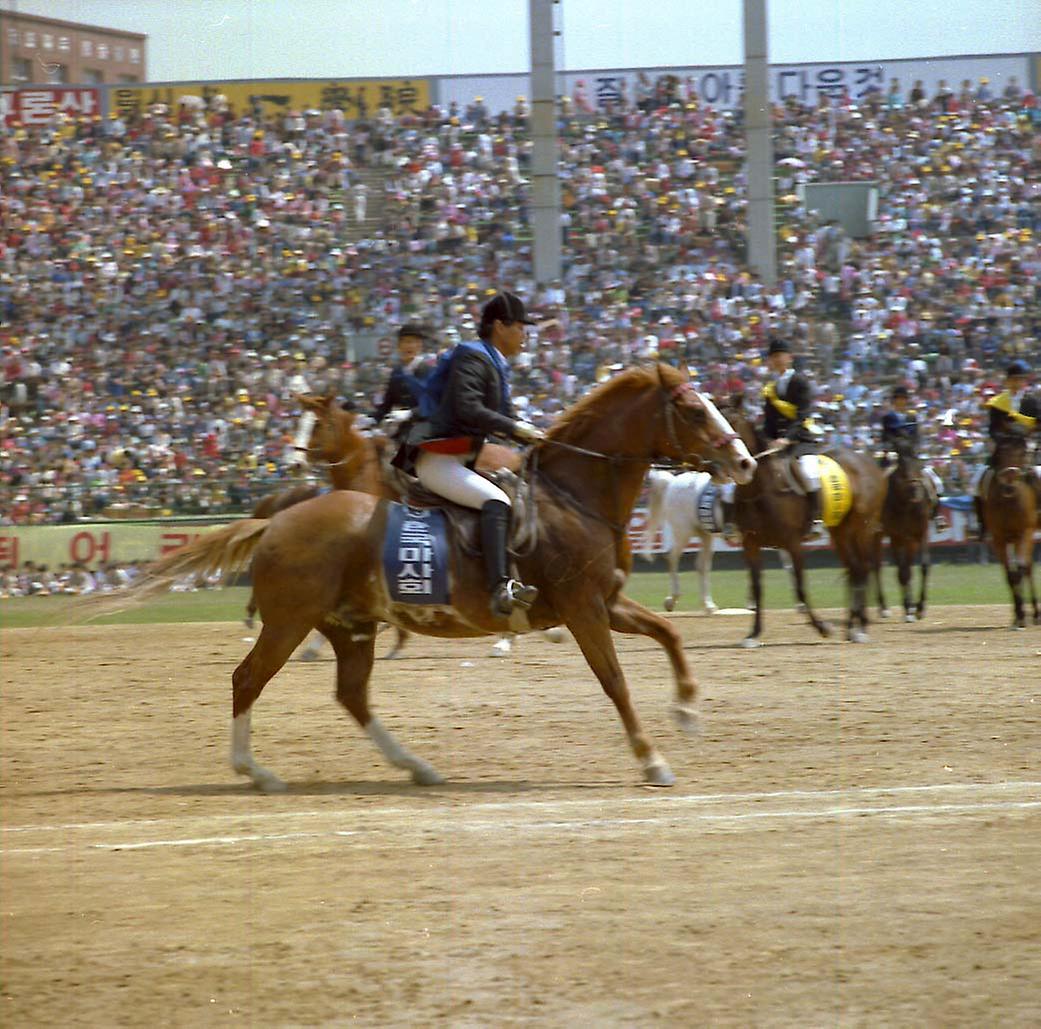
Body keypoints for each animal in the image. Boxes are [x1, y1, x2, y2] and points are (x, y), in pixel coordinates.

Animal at [641, 470, 795, 616]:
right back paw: (673, 600)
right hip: (683, 532)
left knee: (702, 566)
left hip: (705, 535)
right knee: (672, 557)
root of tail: (673, 481)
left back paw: (708, 605)